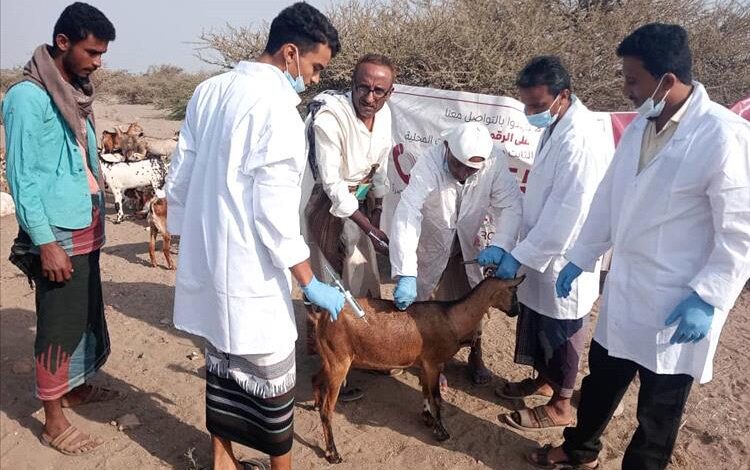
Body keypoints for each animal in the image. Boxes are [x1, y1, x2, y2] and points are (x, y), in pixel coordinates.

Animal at [308, 276, 524, 462]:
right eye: (514, 293)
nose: (516, 312)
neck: (451, 317)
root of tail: (321, 318)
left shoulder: (425, 363)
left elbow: (426, 391)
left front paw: (428, 418)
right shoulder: (434, 363)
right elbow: (436, 397)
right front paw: (441, 431)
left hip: (330, 360)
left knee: (315, 379)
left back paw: (316, 405)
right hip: (339, 362)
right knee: (327, 410)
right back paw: (333, 453)